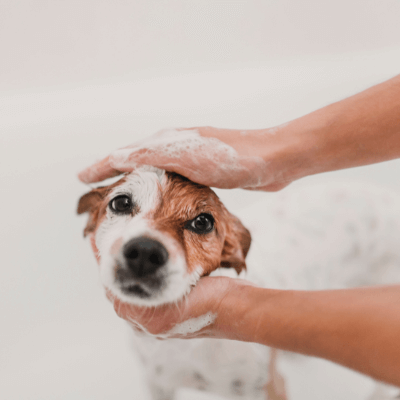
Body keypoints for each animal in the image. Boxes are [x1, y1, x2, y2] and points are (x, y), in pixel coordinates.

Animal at [77, 165, 400, 396]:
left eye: (203, 222)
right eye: (121, 202)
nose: (145, 252)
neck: (185, 348)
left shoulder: (269, 386)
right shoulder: (157, 385)